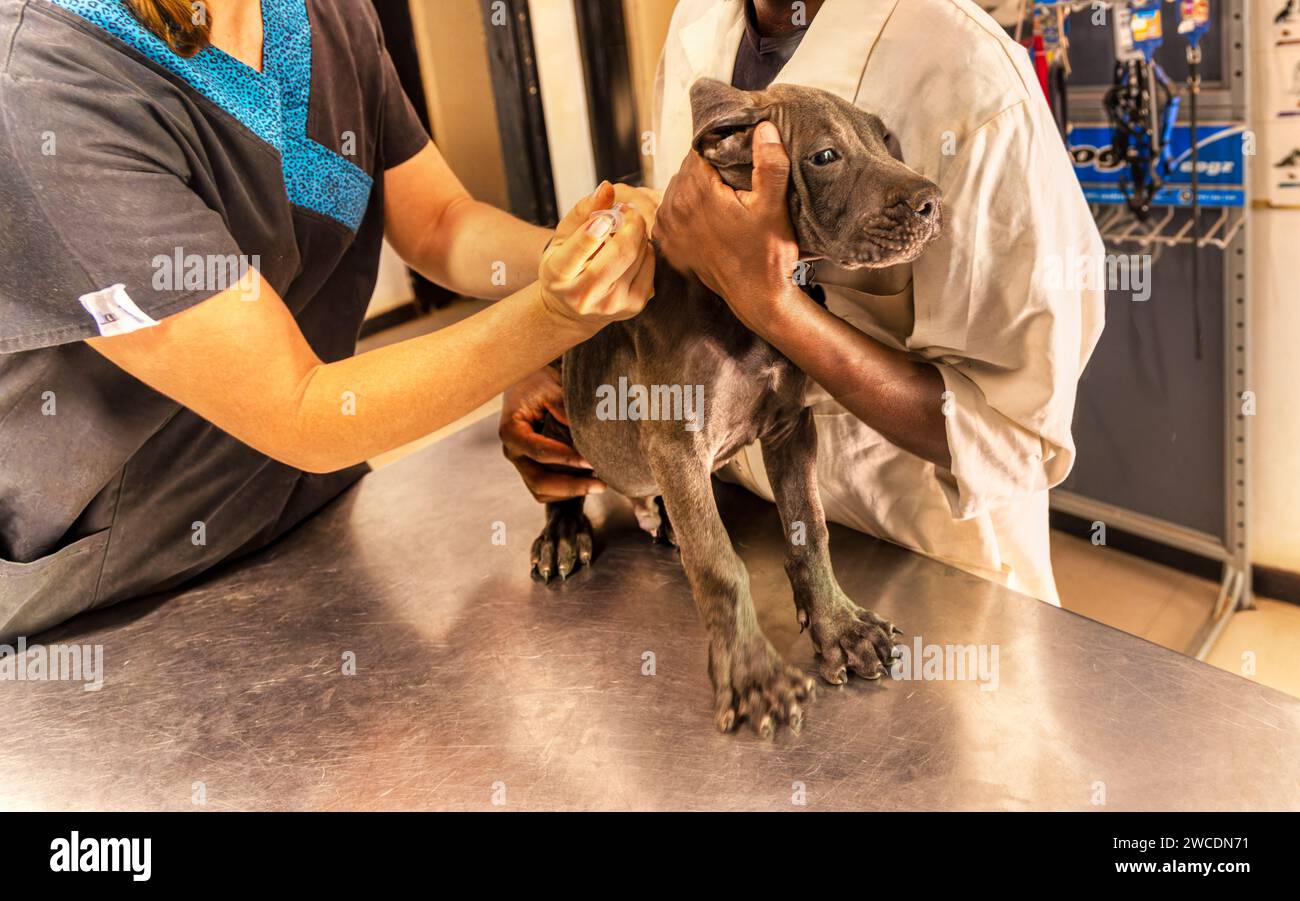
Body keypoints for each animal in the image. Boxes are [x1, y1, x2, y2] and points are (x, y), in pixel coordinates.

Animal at [527, 78, 946, 738]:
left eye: (885, 143)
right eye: (825, 156)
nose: (933, 201)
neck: (730, 304)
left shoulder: (791, 427)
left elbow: (810, 529)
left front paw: (838, 626)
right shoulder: (675, 443)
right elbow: (719, 563)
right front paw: (753, 676)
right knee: (563, 484)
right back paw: (563, 534)